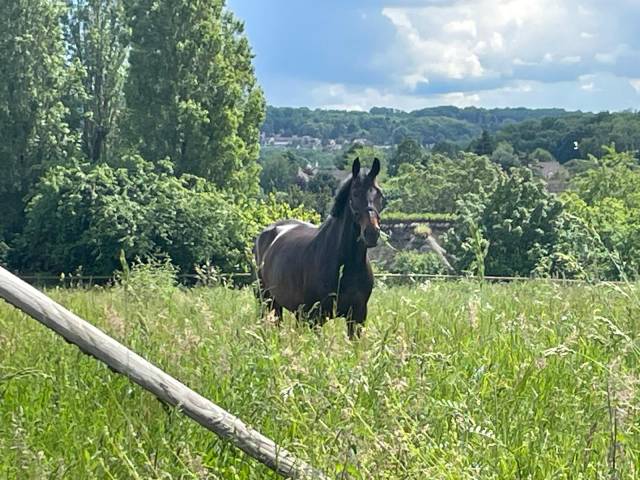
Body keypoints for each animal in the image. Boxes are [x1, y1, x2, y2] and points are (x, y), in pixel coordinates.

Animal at [254, 158, 384, 338]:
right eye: (355, 194)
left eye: (380, 195)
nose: (372, 233)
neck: (345, 264)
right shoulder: (315, 317)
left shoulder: (357, 316)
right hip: (267, 299)